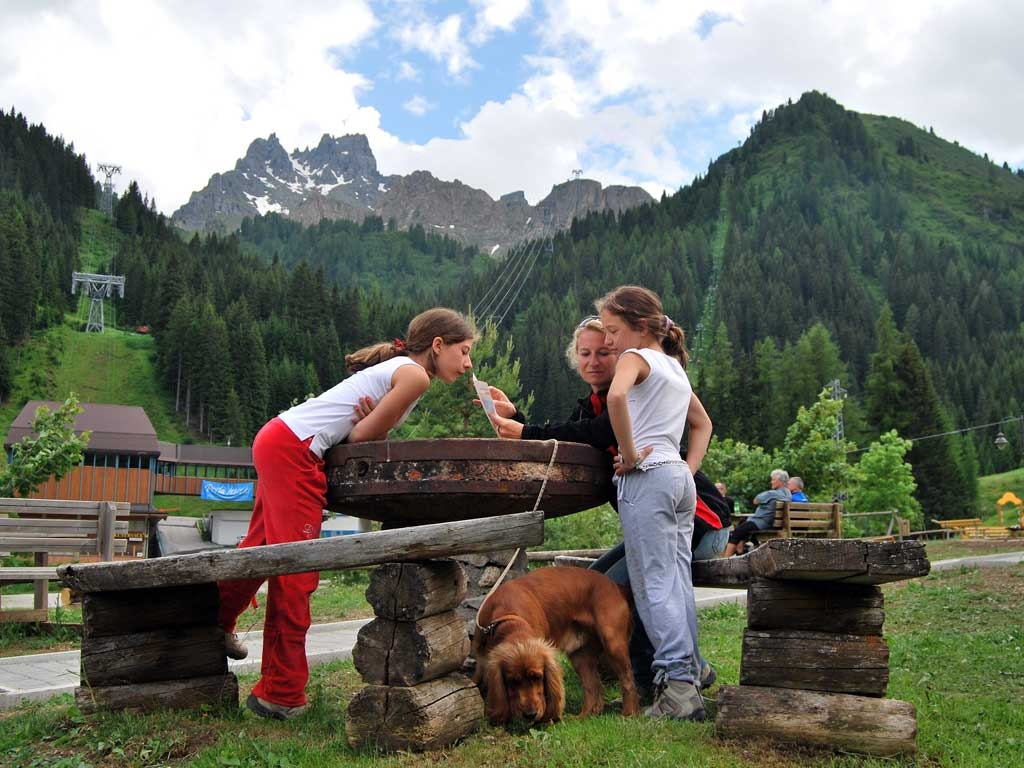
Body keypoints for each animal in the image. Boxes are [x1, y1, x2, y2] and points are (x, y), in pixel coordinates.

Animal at [473, 565, 638, 729]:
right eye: (513, 681)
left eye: (537, 677)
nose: (530, 714)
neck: (508, 617)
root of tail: (617, 586)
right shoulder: (482, 660)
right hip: (580, 655)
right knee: (592, 685)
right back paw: (583, 717)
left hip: (613, 642)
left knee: (627, 679)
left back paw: (629, 714)